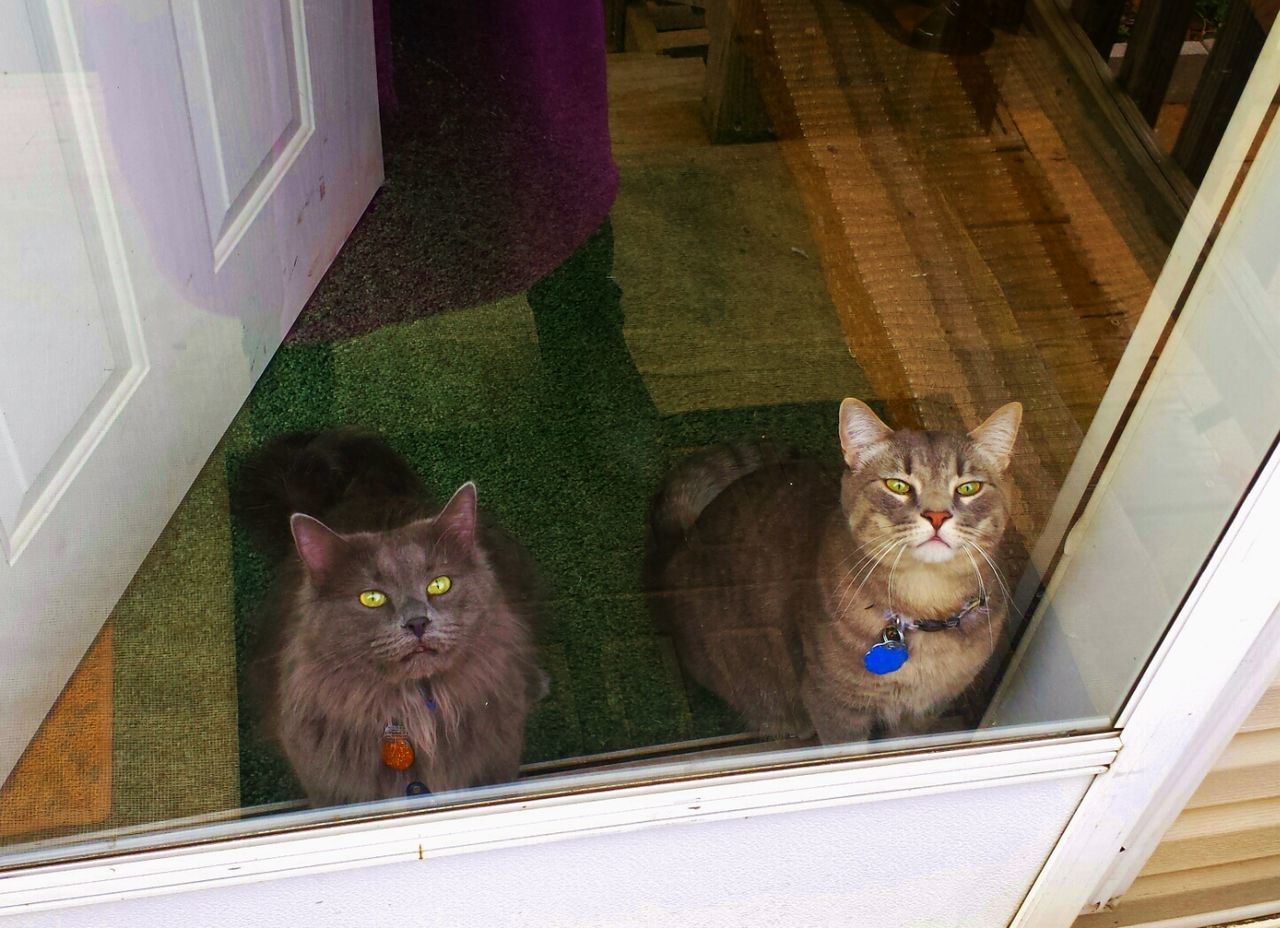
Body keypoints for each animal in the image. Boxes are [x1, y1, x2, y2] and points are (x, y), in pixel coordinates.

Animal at [645, 399, 1024, 747]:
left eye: (968, 488)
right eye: (897, 485)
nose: (936, 515)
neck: (924, 606)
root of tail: (678, 542)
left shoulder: (923, 711)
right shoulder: (833, 705)